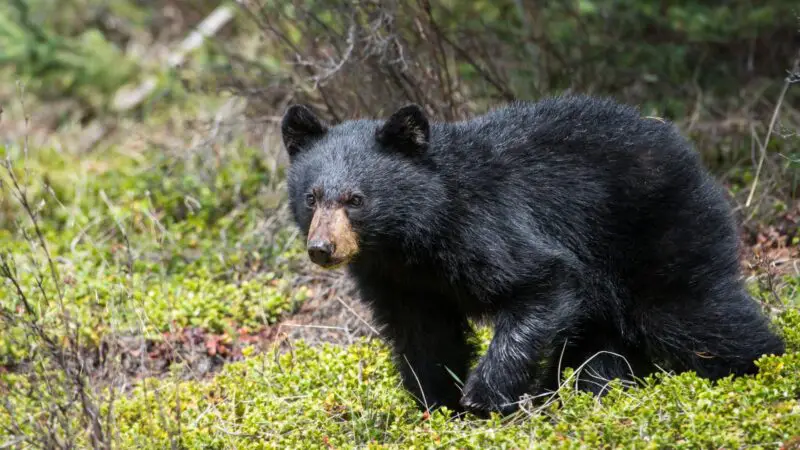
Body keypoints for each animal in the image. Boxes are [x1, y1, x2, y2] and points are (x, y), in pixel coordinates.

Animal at [282, 95, 788, 418]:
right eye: (312, 197)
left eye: (356, 199)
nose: (322, 249)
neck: (411, 235)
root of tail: (684, 149)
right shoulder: (396, 278)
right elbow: (423, 335)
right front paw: (438, 405)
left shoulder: (484, 226)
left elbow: (543, 281)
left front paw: (483, 397)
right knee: (604, 345)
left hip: (656, 229)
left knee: (692, 311)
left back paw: (763, 369)